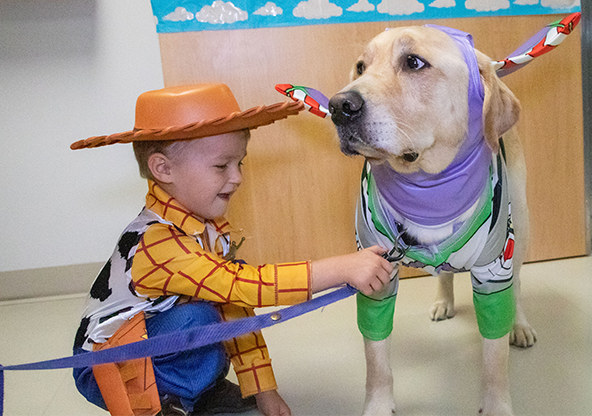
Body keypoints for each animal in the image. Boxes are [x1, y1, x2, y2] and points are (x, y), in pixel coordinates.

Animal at [330, 26, 540, 416]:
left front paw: (496, 404)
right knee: (443, 272)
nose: (338, 107)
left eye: (413, 62)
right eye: (361, 66)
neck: (428, 190)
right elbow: (376, 359)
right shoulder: (375, 273)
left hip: (519, 227)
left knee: (517, 285)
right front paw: (378, 405)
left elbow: (494, 358)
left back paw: (519, 325)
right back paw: (444, 300)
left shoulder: (493, 272)